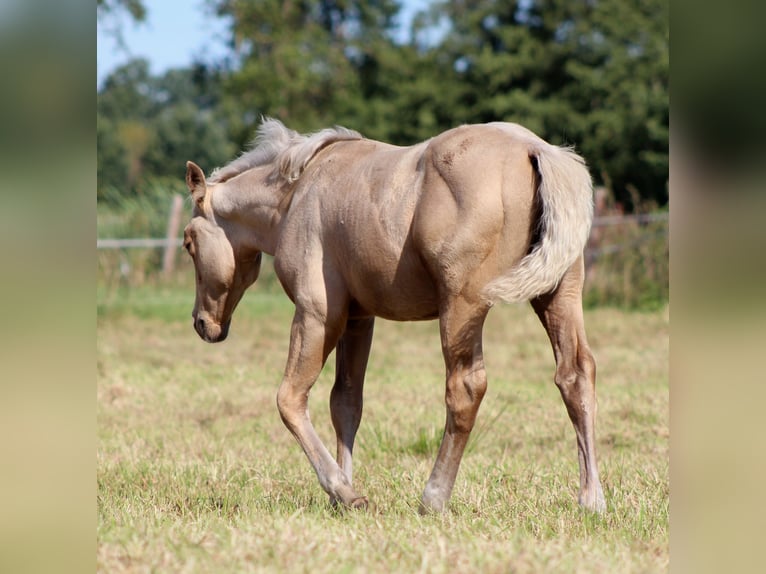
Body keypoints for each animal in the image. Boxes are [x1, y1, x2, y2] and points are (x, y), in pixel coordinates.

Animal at [182, 118, 606, 514]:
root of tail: (535, 149)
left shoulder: (316, 315)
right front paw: (343, 492)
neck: (295, 196)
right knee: (574, 375)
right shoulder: (357, 320)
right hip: (558, 295)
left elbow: (290, 399)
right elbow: (346, 403)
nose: (202, 324)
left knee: (465, 388)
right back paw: (591, 499)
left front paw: (342, 491)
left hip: (463, 307)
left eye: (188, 242)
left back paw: (433, 497)